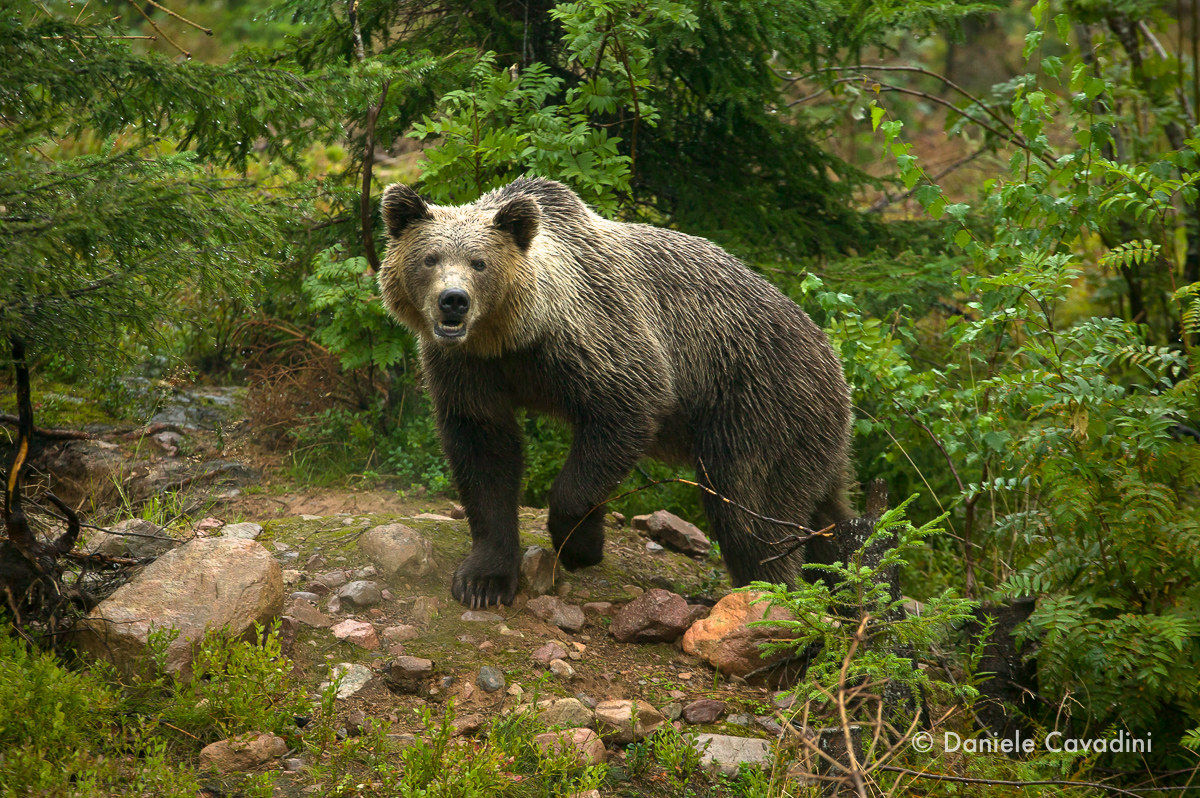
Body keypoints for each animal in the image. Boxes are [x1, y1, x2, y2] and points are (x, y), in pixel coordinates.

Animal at [377, 177, 852, 608]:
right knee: (829, 519)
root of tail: (832, 354)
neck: (512, 337)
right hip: (809, 439)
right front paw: (484, 581)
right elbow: (484, 454)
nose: (453, 301)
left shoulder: (599, 342)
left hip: (759, 403)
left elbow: (620, 419)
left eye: (479, 262)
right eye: (429, 258)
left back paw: (770, 596)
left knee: (749, 510)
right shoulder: (468, 370)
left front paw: (580, 546)